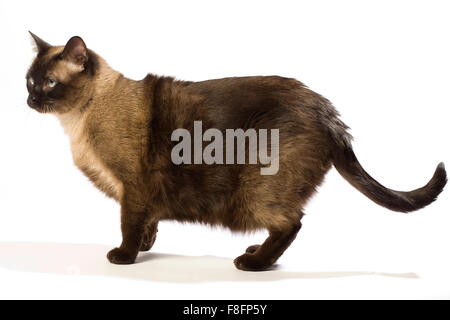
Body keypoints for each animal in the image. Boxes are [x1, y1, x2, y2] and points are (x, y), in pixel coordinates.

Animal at [25, 33, 446, 272]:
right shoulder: (143, 195)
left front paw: (126, 257)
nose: (29, 100)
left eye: (50, 83)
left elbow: (130, 225)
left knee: (291, 223)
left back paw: (253, 262)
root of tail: (327, 112)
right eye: (29, 80)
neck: (78, 122)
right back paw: (257, 251)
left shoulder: (134, 187)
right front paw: (146, 247)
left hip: (257, 188)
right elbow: (149, 224)